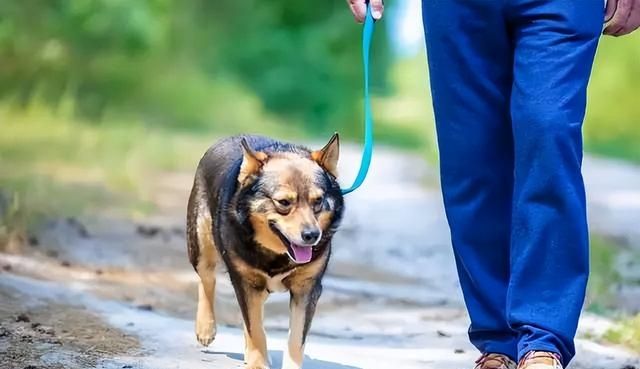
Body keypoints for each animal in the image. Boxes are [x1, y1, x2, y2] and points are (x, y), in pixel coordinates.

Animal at [185, 133, 344, 368]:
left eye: (318, 201)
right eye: (284, 202)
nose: (312, 235)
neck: (277, 254)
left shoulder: (306, 288)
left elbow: (296, 338)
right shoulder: (246, 282)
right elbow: (255, 329)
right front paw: (258, 362)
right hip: (200, 242)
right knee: (207, 279)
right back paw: (206, 327)